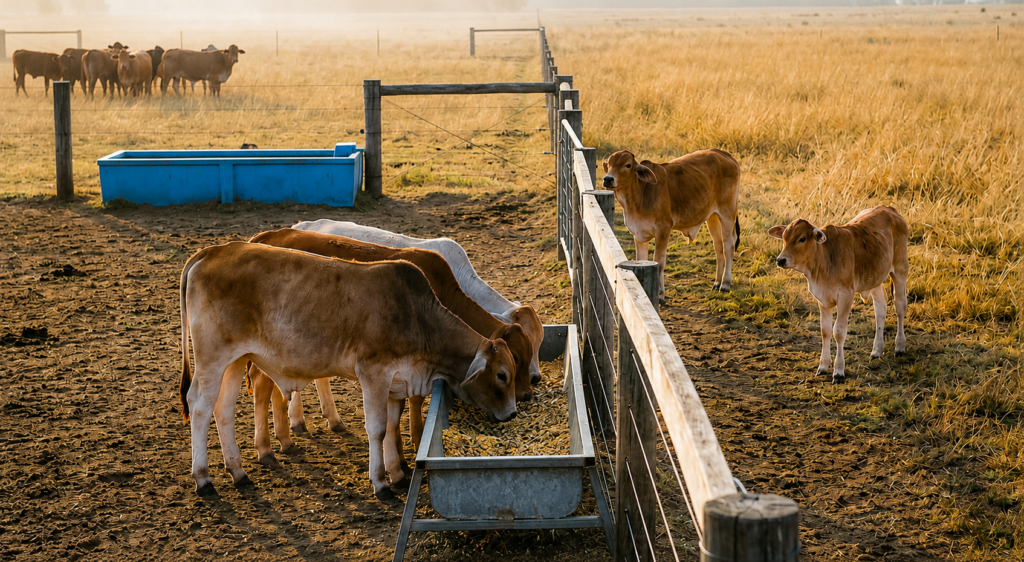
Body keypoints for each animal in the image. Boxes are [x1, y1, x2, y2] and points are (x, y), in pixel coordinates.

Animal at [178, 241, 517, 499]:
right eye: (502, 375)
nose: (512, 413)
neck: (418, 318)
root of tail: (213, 250)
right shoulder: (374, 373)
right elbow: (378, 429)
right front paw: (380, 483)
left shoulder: (396, 382)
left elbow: (392, 425)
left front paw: (397, 474)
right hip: (212, 356)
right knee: (200, 406)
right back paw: (203, 479)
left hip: (236, 359)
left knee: (223, 409)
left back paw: (238, 472)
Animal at [601, 149, 742, 304]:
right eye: (609, 164)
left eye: (627, 165)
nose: (608, 179)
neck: (640, 194)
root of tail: (724, 154)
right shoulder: (639, 234)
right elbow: (641, 259)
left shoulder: (663, 230)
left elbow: (659, 262)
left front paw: (660, 295)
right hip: (712, 216)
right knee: (718, 246)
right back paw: (716, 282)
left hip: (727, 213)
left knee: (728, 246)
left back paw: (725, 284)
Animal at [768, 206, 909, 384]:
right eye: (784, 238)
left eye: (802, 239)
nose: (780, 260)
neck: (822, 263)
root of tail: (888, 209)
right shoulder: (822, 298)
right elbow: (825, 331)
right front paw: (823, 366)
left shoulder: (845, 296)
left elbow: (839, 332)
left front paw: (839, 371)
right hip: (875, 276)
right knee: (880, 308)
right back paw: (877, 350)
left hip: (900, 269)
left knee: (900, 306)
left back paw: (900, 347)